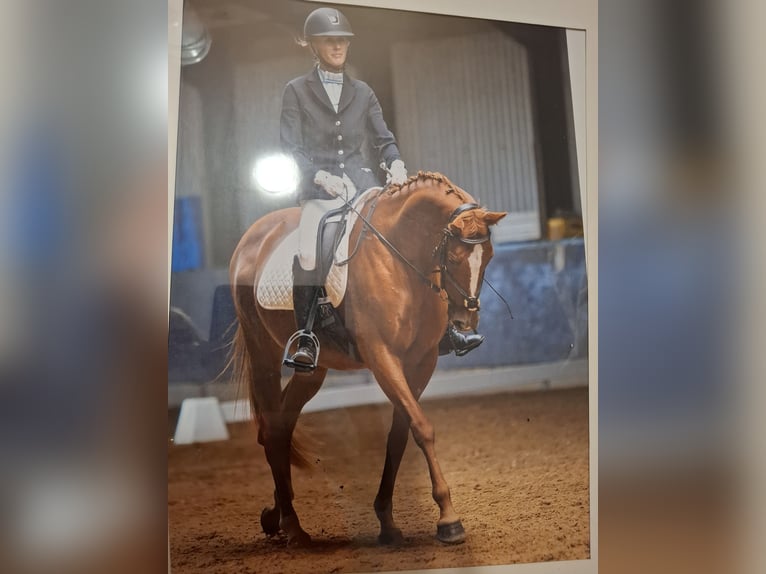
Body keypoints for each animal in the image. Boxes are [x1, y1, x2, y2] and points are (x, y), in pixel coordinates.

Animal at [228, 171, 506, 547]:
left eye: (488, 255)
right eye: (455, 257)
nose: (465, 322)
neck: (401, 257)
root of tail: (253, 234)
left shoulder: (421, 363)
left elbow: (401, 434)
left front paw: (387, 521)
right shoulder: (382, 357)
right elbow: (423, 428)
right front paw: (449, 519)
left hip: (314, 370)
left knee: (281, 426)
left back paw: (277, 517)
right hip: (263, 354)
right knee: (271, 428)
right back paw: (293, 527)